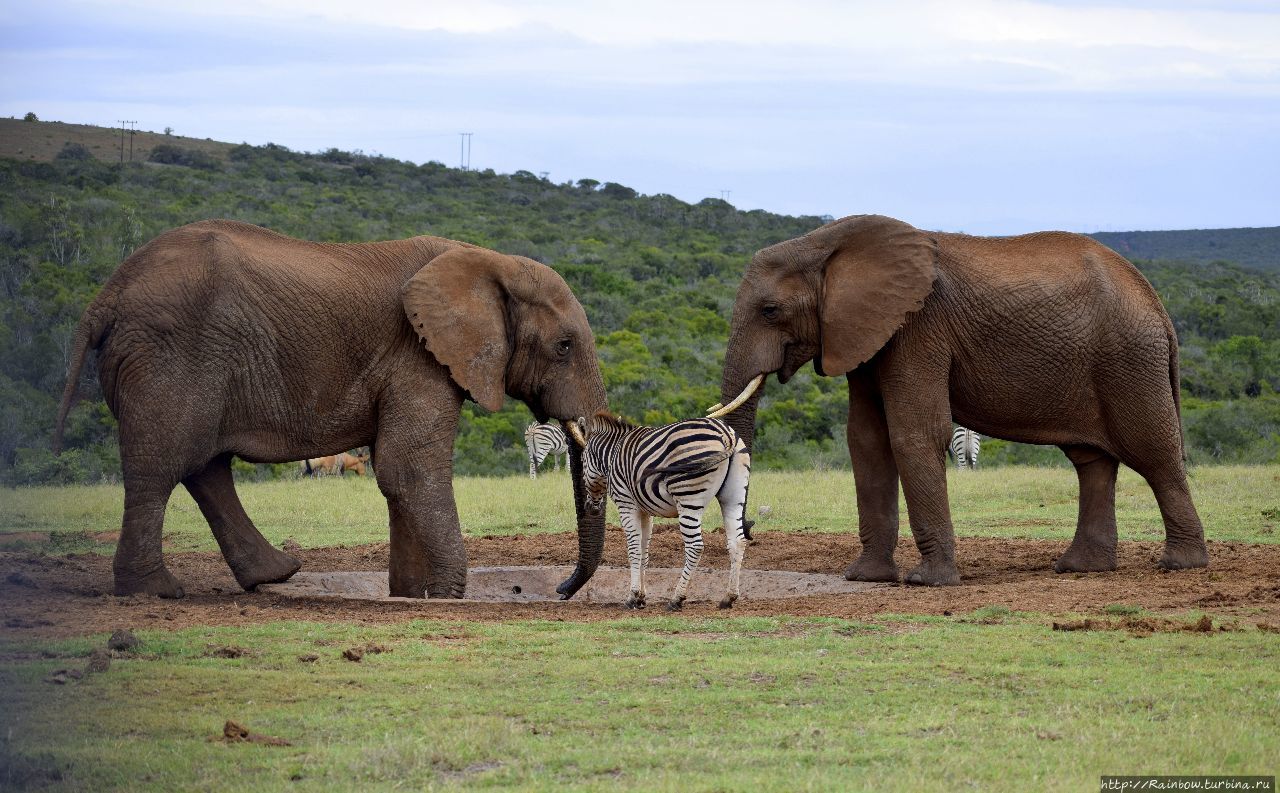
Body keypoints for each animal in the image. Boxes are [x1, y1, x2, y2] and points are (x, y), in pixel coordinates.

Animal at [578, 411, 747, 611]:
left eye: (582, 461)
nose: (591, 508)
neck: (611, 454)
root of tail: (727, 434)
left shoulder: (626, 503)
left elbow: (633, 549)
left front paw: (632, 597)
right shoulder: (645, 510)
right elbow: (644, 550)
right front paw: (641, 598)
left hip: (688, 497)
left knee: (695, 546)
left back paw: (676, 598)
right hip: (734, 497)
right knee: (738, 541)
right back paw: (729, 597)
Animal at [716, 213, 1203, 585]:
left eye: (770, 311)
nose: (751, 528)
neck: (824, 245)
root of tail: (1157, 303)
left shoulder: (918, 327)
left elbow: (914, 434)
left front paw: (926, 582)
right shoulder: (866, 334)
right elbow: (866, 440)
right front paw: (866, 578)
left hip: (1129, 359)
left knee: (1155, 455)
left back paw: (1180, 565)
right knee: (1092, 462)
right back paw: (1080, 568)